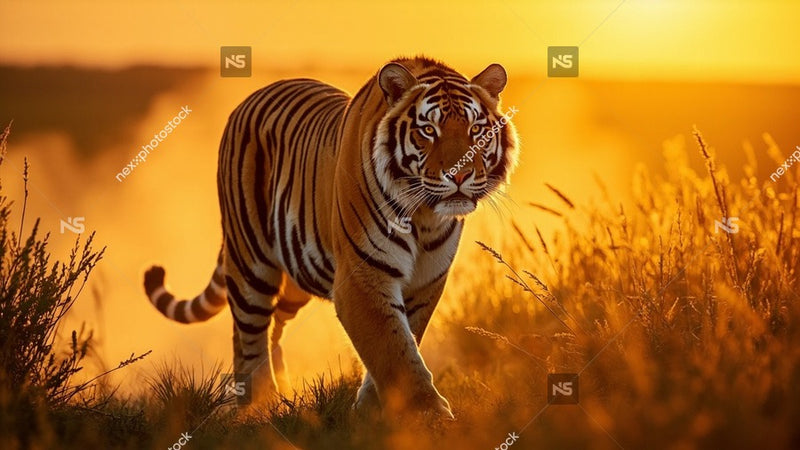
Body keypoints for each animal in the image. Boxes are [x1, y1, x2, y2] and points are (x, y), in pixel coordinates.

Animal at [143, 56, 518, 419]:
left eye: (476, 130)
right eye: (428, 130)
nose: (460, 174)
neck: (425, 217)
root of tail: (252, 96)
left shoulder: (427, 282)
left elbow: (404, 339)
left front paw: (372, 409)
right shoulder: (363, 277)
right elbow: (392, 346)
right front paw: (427, 414)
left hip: (297, 276)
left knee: (273, 326)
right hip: (250, 262)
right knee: (249, 333)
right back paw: (258, 408)